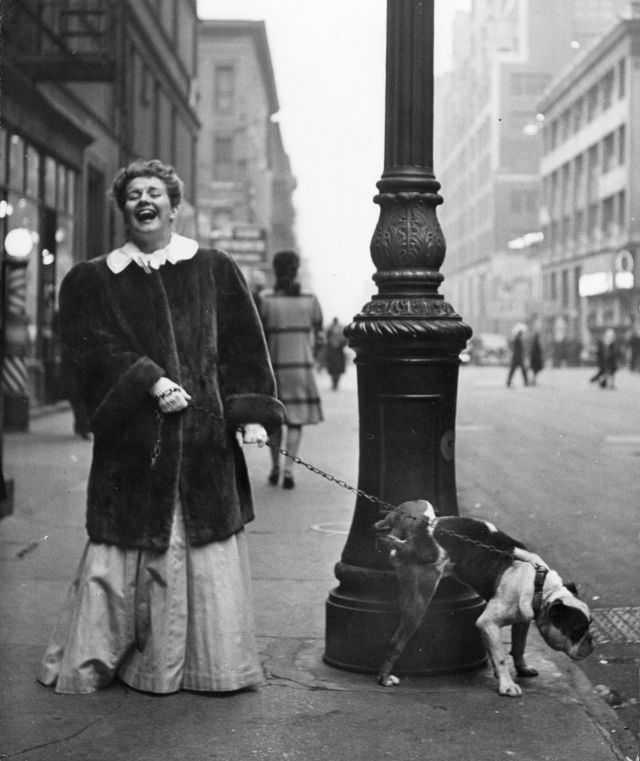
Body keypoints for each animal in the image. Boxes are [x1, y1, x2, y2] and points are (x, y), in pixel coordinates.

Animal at [372, 498, 592, 696]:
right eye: (577, 631)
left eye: (589, 628)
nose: (591, 644)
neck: (541, 586)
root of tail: (415, 535)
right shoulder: (488, 622)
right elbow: (501, 655)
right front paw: (507, 685)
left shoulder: (521, 620)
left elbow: (517, 646)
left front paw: (520, 668)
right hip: (420, 598)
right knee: (396, 641)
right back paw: (384, 678)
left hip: (421, 509)